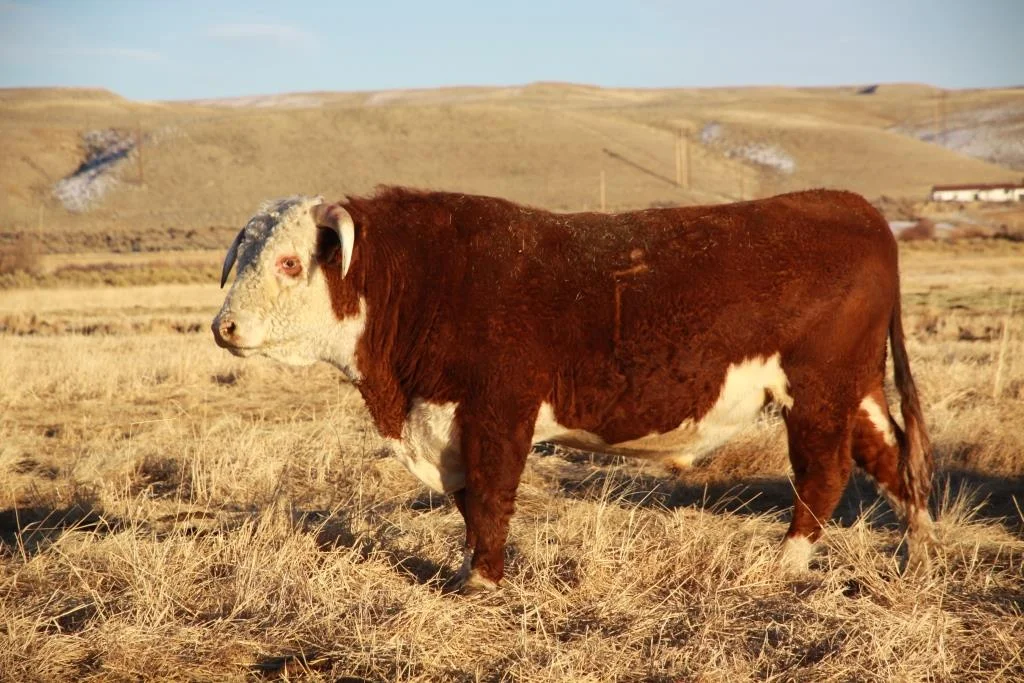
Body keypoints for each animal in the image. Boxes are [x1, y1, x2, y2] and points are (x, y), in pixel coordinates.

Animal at [212, 187, 934, 592]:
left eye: (289, 262)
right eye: (241, 258)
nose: (224, 326)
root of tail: (851, 205)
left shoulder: (498, 411)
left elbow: (491, 495)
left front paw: (483, 581)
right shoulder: (448, 421)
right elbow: (469, 502)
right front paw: (469, 569)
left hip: (817, 392)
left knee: (826, 472)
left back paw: (786, 563)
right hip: (857, 389)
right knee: (892, 457)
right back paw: (920, 548)